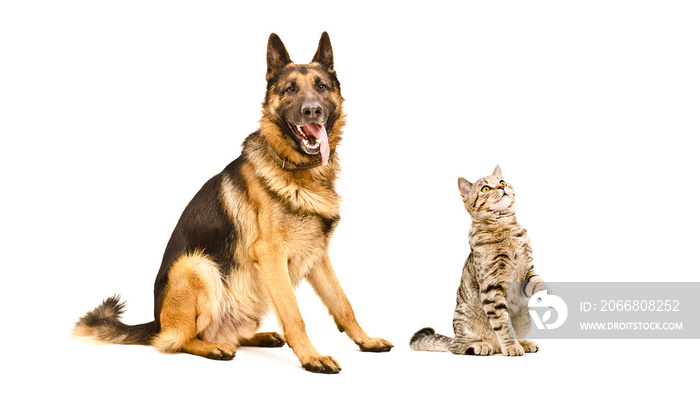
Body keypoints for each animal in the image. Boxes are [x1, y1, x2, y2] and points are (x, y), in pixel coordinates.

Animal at [76, 32, 394, 372]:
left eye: (321, 86)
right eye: (290, 89)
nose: (312, 111)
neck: (298, 171)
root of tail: (156, 321)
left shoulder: (318, 255)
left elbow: (343, 303)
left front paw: (366, 340)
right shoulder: (271, 256)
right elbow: (294, 315)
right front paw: (312, 357)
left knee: (229, 334)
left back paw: (258, 336)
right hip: (196, 266)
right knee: (176, 340)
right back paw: (214, 348)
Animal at [410, 166, 548, 354]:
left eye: (501, 181)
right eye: (486, 189)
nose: (501, 186)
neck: (505, 227)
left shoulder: (528, 271)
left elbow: (539, 284)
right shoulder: (492, 286)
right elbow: (503, 323)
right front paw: (511, 346)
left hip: (525, 316)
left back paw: (524, 343)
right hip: (464, 317)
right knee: (457, 345)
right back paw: (480, 345)